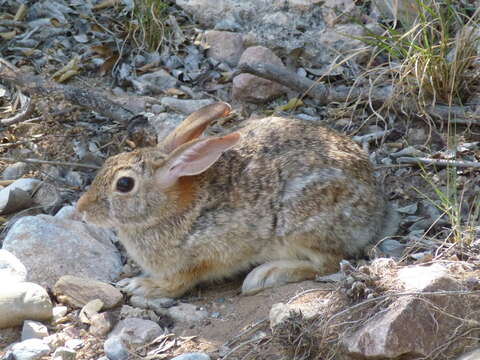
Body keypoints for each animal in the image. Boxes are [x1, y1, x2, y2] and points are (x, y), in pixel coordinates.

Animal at [76, 102, 398, 298]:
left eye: (124, 184)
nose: (82, 211)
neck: (167, 209)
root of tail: (376, 211)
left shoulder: (199, 257)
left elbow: (176, 284)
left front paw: (138, 285)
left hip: (302, 223)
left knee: (329, 262)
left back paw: (266, 275)